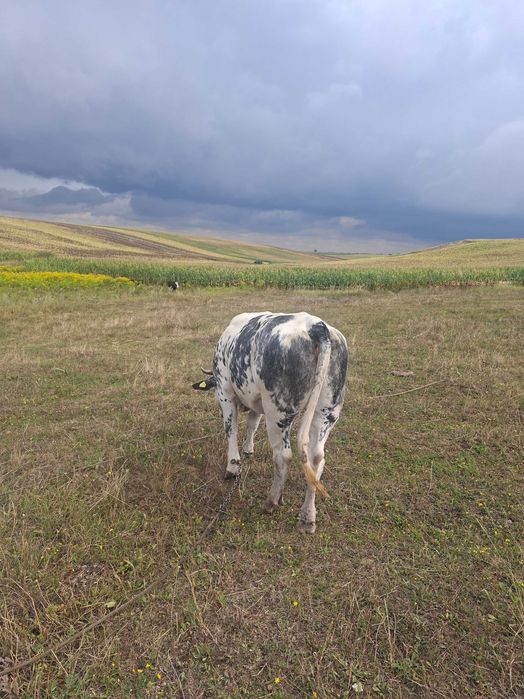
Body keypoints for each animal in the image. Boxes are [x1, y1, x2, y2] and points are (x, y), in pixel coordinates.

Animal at [192, 312, 348, 533]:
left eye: (214, 387)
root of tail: (316, 326)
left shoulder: (225, 392)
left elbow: (230, 429)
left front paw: (233, 466)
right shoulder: (258, 403)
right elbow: (252, 423)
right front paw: (248, 449)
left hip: (278, 411)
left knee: (283, 456)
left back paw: (272, 502)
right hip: (327, 410)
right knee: (316, 458)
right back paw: (307, 517)